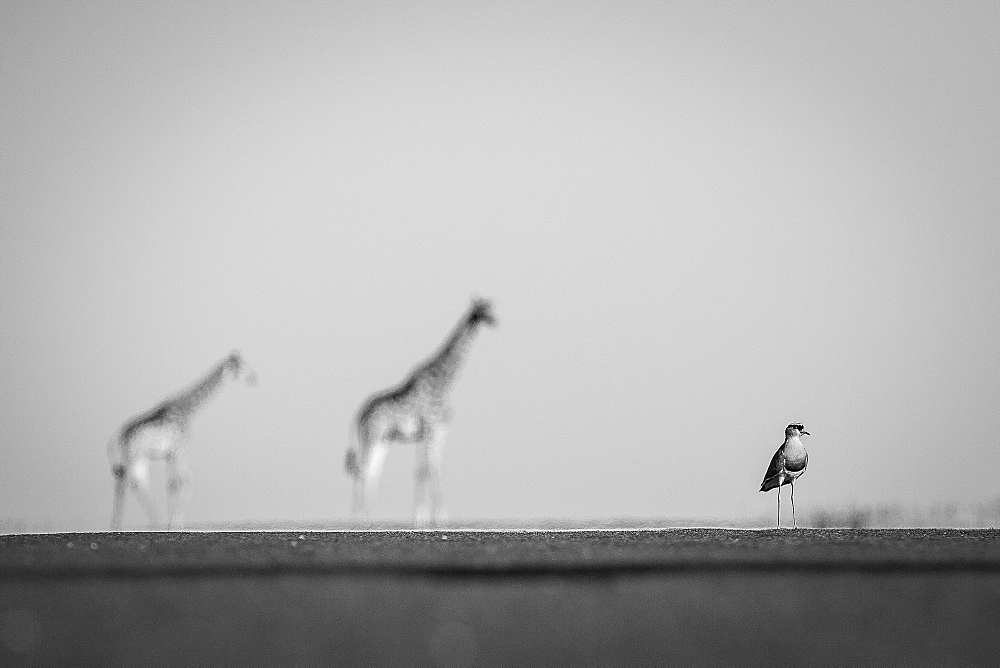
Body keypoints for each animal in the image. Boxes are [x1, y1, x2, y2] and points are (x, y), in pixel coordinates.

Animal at [108, 350, 258, 532]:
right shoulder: (179, 449)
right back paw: (120, 526)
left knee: (136, 482)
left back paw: (150, 522)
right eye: (240, 366)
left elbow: (177, 483)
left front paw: (173, 524)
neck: (188, 409)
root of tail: (117, 437)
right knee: (125, 483)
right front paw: (175, 525)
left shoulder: (171, 454)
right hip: (133, 455)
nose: (253, 378)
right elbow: (182, 482)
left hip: (140, 458)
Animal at [346, 298, 498, 528]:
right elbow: (426, 469)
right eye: (481, 310)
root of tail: (359, 415)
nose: (494, 321)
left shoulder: (435, 431)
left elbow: (429, 468)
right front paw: (426, 518)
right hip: (371, 436)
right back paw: (358, 520)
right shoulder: (430, 428)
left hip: (383, 439)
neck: (443, 382)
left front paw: (429, 518)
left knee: (371, 471)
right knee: (363, 469)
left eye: (491, 308)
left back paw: (370, 518)